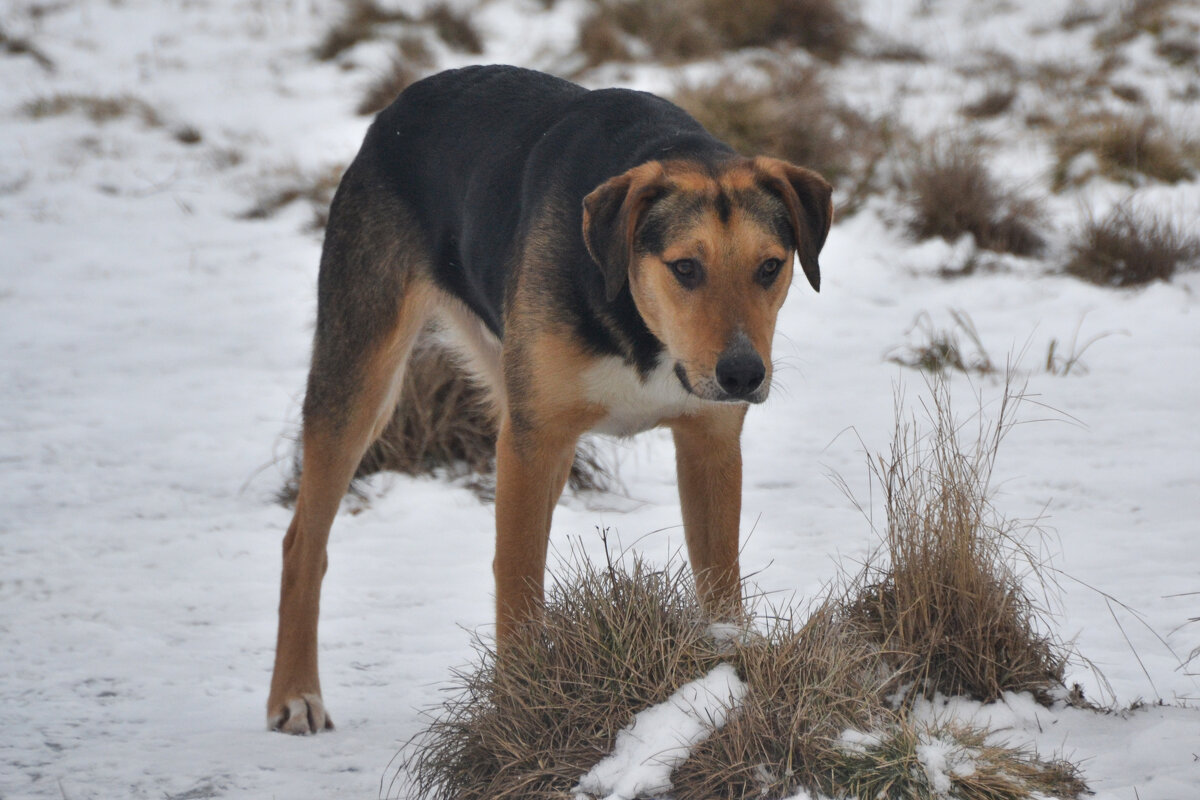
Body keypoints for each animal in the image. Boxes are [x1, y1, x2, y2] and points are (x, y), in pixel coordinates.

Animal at [270, 65, 835, 734]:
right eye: (686, 268)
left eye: (770, 267)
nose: (744, 374)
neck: (638, 323)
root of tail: (401, 102)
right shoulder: (533, 441)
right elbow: (518, 584)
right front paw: (516, 709)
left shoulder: (709, 442)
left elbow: (720, 582)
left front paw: (728, 668)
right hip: (363, 378)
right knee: (304, 543)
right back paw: (294, 693)